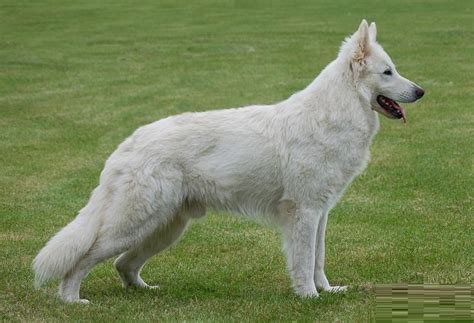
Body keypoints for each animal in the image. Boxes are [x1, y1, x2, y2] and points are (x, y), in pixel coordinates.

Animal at [34, 20, 426, 304]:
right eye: (388, 72)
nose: (421, 91)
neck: (334, 113)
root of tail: (128, 144)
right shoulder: (303, 213)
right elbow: (303, 261)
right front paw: (309, 298)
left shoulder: (320, 214)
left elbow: (318, 258)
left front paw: (327, 291)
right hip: (133, 223)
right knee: (84, 258)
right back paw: (71, 300)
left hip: (166, 227)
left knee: (123, 264)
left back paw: (146, 292)